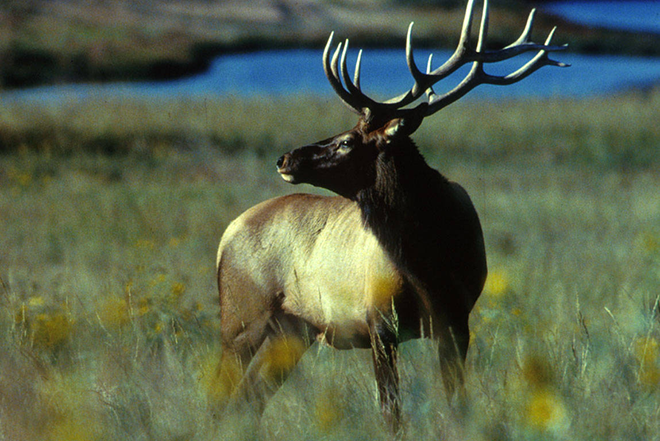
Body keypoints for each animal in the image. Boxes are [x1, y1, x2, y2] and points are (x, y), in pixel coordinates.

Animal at [217, 0, 568, 432]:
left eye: (347, 141)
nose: (286, 158)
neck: (431, 266)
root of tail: (227, 234)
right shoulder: (379, 322)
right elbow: (391, 413)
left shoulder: (457, 323)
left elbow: (455, 404)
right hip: (239, 320)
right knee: (221, 394)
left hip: (292, 331)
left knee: (249, 398)